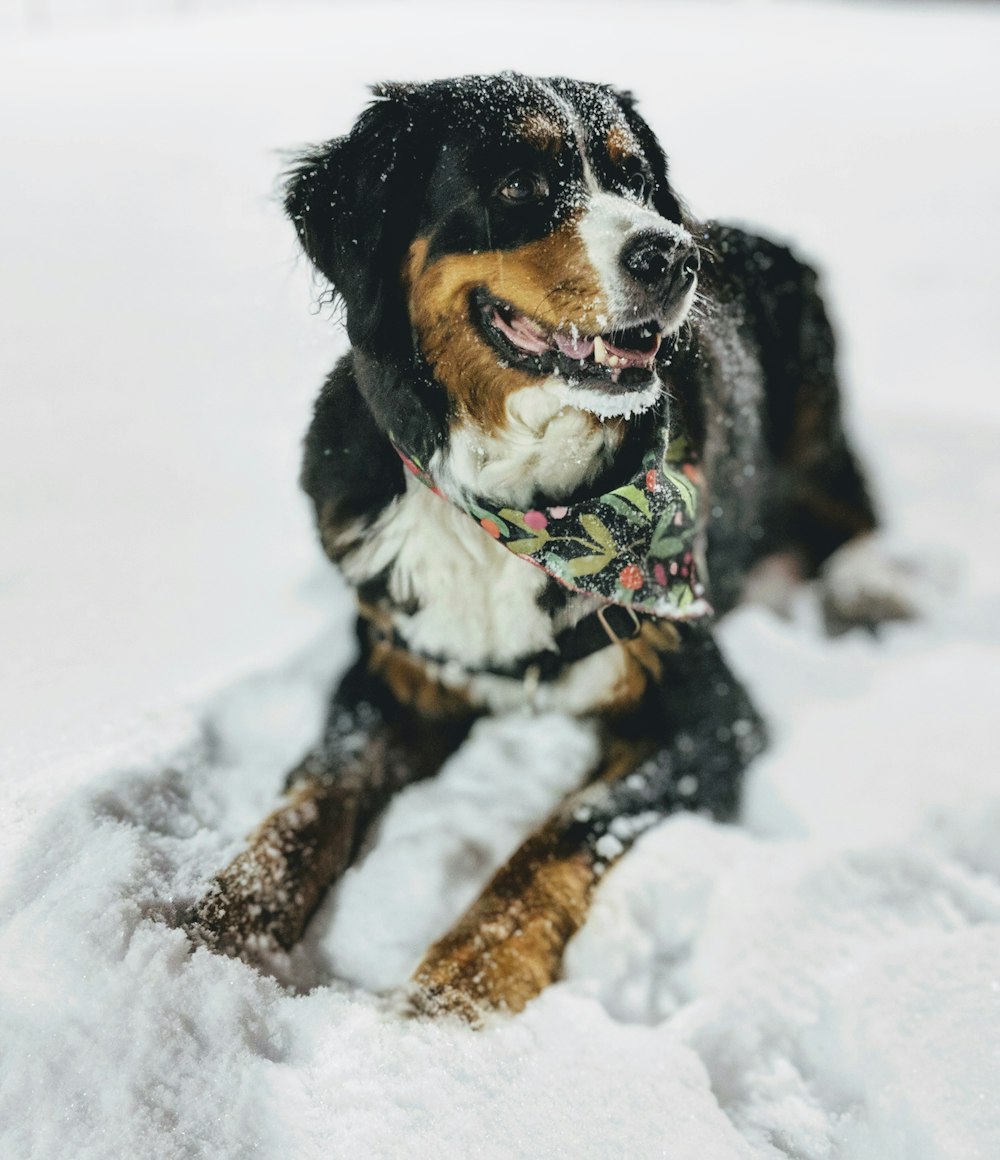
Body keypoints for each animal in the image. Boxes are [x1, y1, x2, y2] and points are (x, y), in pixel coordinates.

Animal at [184, 72, 918, 1020]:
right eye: (520, 185)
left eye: (634, 178)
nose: (671, 257)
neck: (521, 507)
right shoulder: (393, 669)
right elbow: (314, 796)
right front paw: (217, 923)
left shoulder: (712, 714)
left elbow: (558, 836)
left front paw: (458, 986)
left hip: (813, 393)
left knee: (853, 510)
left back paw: (869, 591)